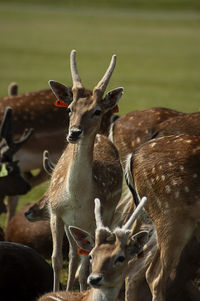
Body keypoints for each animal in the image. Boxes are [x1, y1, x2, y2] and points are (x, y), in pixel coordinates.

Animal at [46, 49, 123, 290]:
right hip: (71, 224)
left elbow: (85, 267)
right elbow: (56, 259)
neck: (76, 198)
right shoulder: (55, 212)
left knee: (80, 259)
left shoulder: (91, 220)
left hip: (107, 213)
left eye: (97, 111)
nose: (74, 132)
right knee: (72, 255)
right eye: (70, 109)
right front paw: (56, 291)